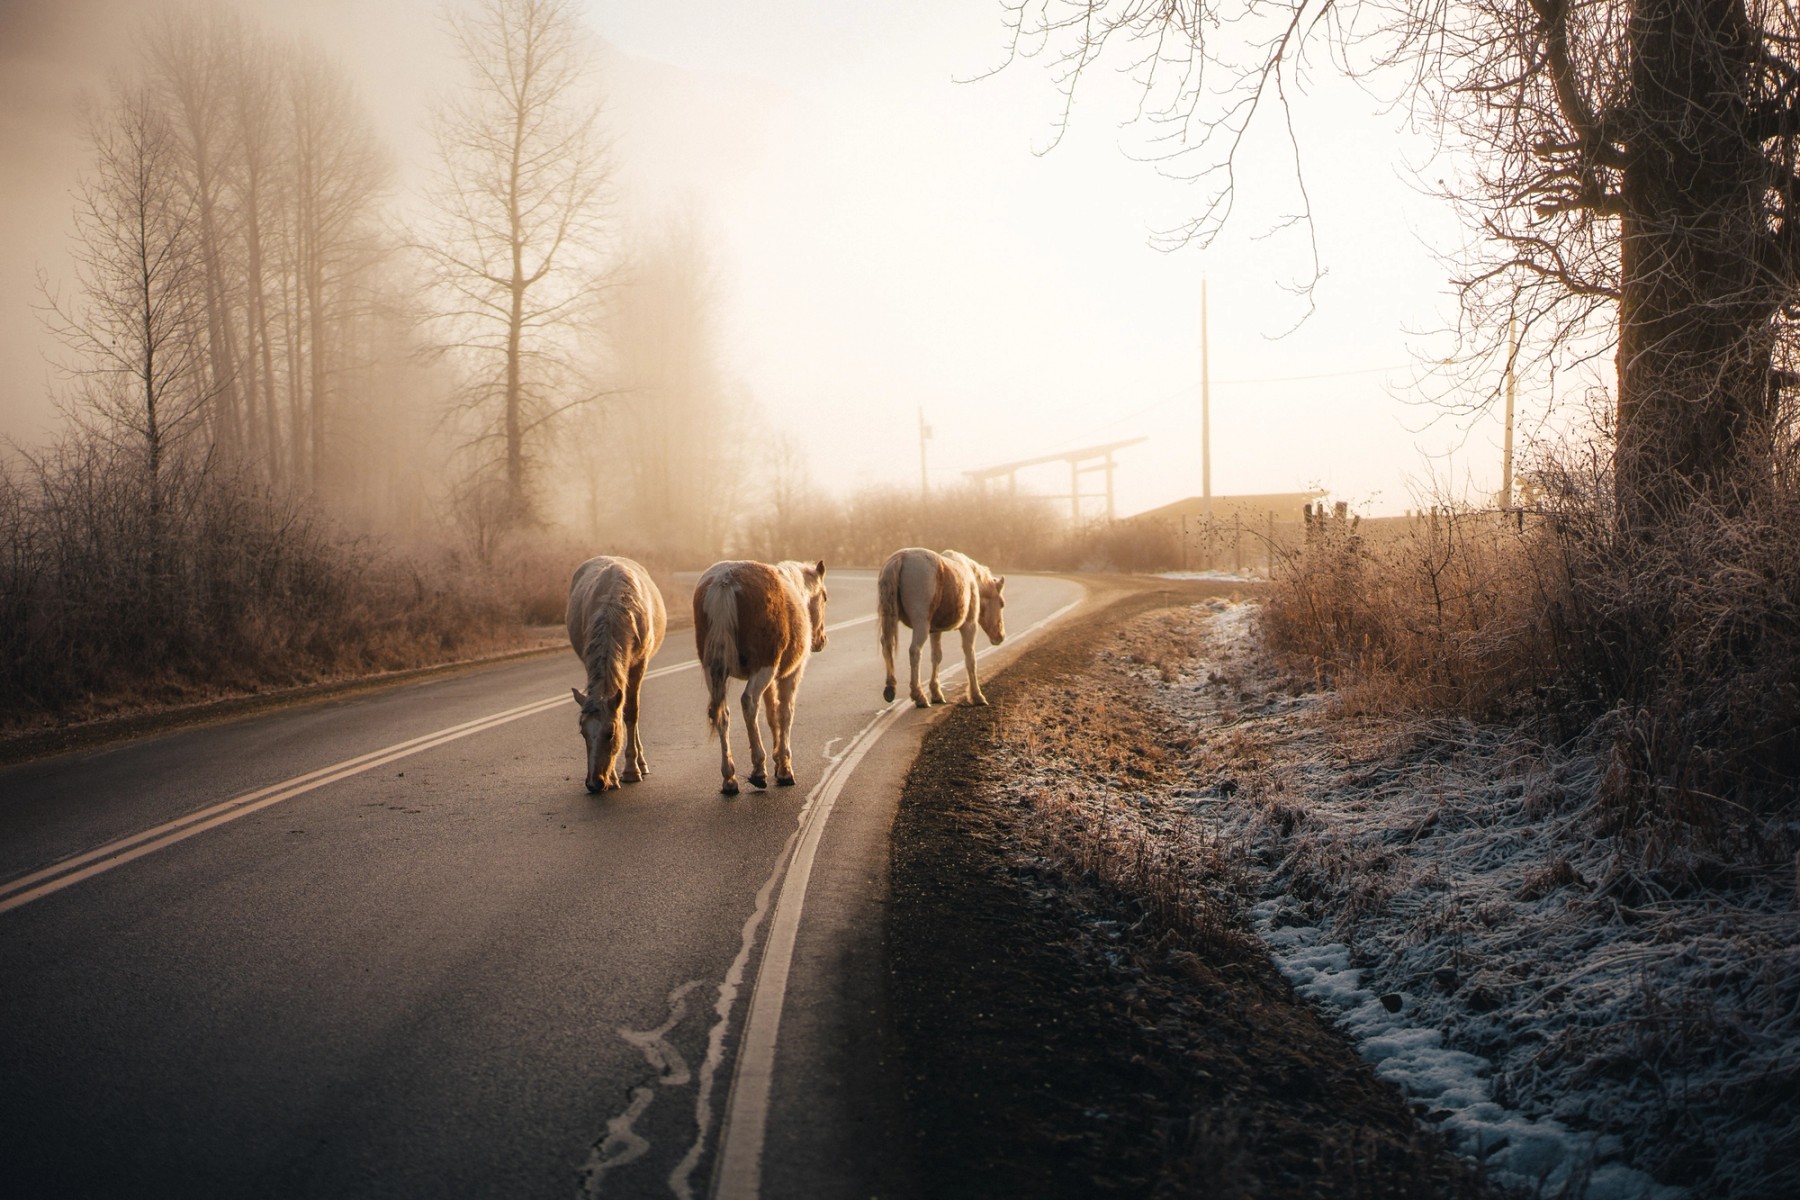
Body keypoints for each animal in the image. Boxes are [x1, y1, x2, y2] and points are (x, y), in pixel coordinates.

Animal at [566, 555, 667, 793]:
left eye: (610, 733)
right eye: (583, 733)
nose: (594, 783)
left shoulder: (639, 664)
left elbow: (630, 713)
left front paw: (631, 769)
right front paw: (612, 778)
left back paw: (641, 763)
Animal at [692, 559, 828, 796]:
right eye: (824, 597)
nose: (821, 640)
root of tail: (725, 581)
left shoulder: (771, 680)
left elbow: (772, 715)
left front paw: (778, 762)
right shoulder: (790, 674)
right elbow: (785, 713)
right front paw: (784, 768)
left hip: (713, 671)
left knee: (723, 715)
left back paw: (729, 778)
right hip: (764, 668)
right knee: (749, 702)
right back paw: (758, 769)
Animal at [877, 547, 1006, 708]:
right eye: (1002, 603)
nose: (1000, 636)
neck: (972, 579)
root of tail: (902, 556)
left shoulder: (935, 631)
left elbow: (937, 657)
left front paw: (936, 693)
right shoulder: (969, 626)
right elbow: (970, 659)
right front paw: (977, 695)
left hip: (891, 618)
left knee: (887, 646)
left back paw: (890, 688)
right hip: (921, 625)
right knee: (915, 651)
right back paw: (919, 695)